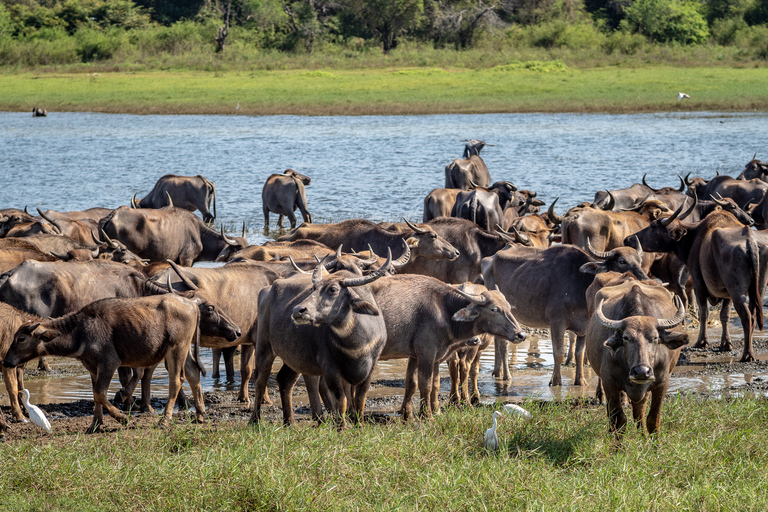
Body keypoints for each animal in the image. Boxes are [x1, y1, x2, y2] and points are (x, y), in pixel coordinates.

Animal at [584, 272, 688, 436]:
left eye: (655, 337)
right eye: (626, 338)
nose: (641, 371)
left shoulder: (661, 383)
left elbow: (652, 419)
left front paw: (651, 441)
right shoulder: (609, 383)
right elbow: (619, 419)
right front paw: (616, 442)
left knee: (639, 411)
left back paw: (642, 433)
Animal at [624, 198, 768, 362]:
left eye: (653, 226)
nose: (628, 239)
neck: (692, 238)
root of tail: (750, 242)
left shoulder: (699, 285)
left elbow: (703, 312)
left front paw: (701, 341)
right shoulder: (726, 294)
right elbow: (724, 315)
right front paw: (725, 344)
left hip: (737, 291)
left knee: (747, 317)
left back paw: (747, 354)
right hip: (756, 290)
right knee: (753, 315)